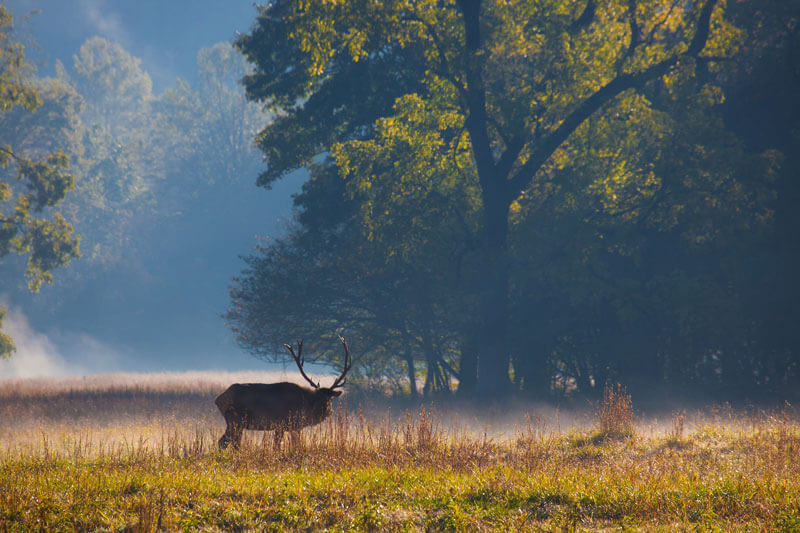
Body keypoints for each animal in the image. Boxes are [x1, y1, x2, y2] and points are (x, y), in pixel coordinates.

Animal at [214, 334, 352, 446]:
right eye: (321, 397)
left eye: (331, 397)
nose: (328, 411)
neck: (305, 404)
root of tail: (218, 399)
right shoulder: (282, 424)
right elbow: (279, 447)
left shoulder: (293, 427)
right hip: (235, 420)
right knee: (227, 442)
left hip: (235, 423)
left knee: (225, 442)